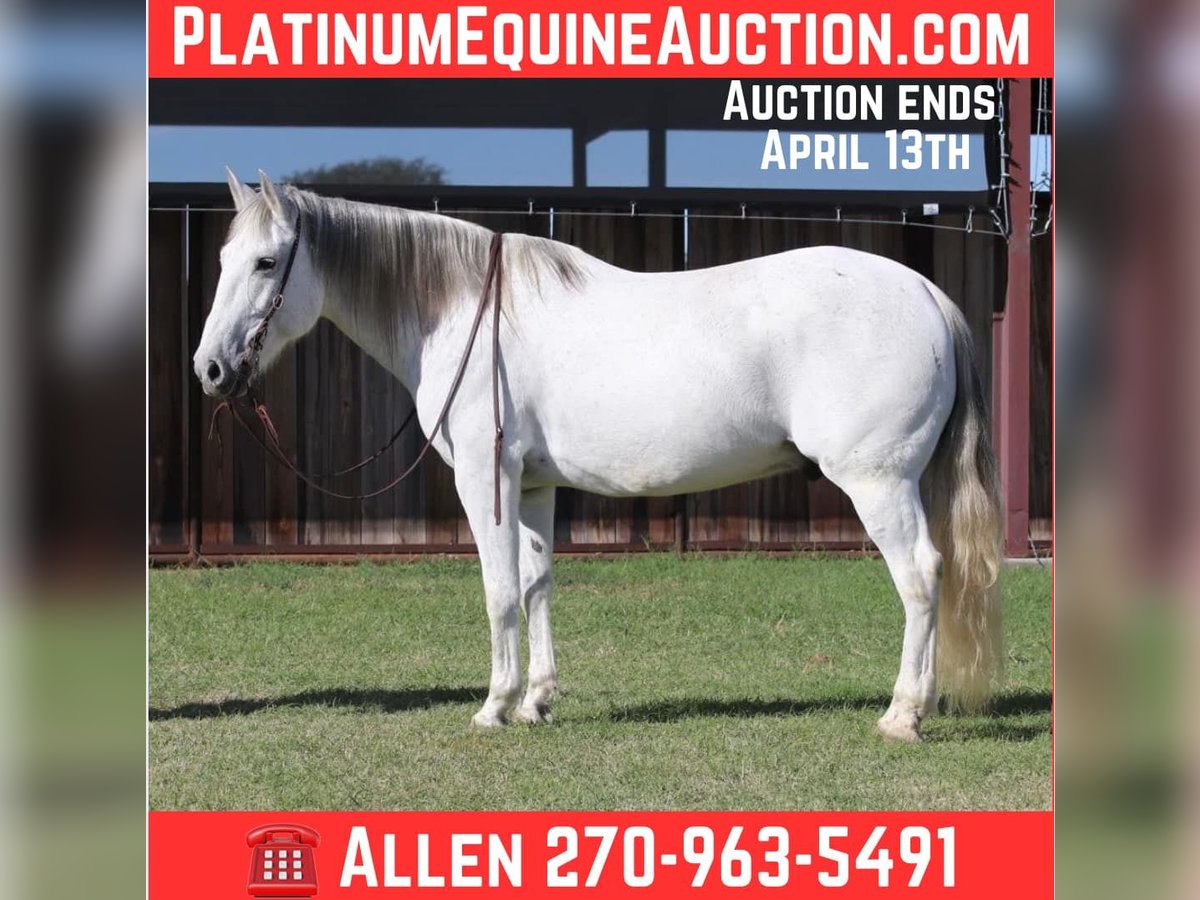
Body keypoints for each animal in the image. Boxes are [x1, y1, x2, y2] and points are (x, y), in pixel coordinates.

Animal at [194, 170, 1003, 743]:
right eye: (224, 257)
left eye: (266, 262)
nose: (210, 369)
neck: (461, 310)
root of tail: (926, 291)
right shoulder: (531, 487)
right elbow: (537, 584)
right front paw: (537, 702)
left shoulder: (485, 479)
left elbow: (498, 591)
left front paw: (493, 706)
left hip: (879, 483)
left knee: (921, 577)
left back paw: (902, 715)